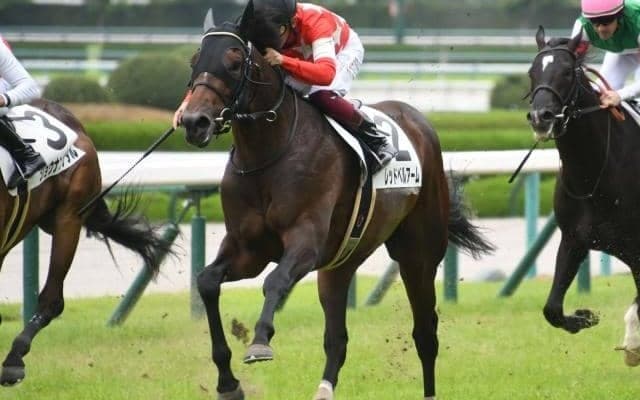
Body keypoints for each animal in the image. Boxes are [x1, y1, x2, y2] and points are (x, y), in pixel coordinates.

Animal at [179, 10, 494, 400]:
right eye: (195, 60)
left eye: (234, 63)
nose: (194, 121)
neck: (268, 152)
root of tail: (416, 118)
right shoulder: (247, 249)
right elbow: (207, 282)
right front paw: (227, 381)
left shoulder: (306, 240)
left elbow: (275, 280)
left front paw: (260, 342)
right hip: (340, 262)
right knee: (337, 339)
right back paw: (324, 388)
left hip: (418, 253)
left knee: (425, 332)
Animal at [527, 26, 640, 367]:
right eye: (531, 73)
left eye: (567, 71)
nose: (541, 117)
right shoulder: (574, 238)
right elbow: (551, 309)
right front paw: (584, 317)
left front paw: (633, 343)